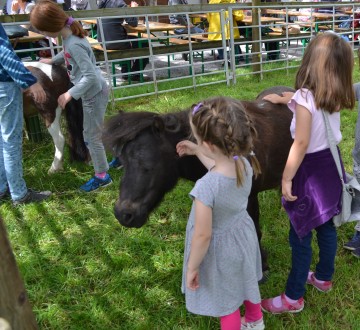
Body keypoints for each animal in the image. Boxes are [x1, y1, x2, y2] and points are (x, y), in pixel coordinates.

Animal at [102, 85, 294, 270]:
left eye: (149, 165)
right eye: (123, 162)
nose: (122, 214)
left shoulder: (250, 198)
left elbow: (255, 230)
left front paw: (262, 265)